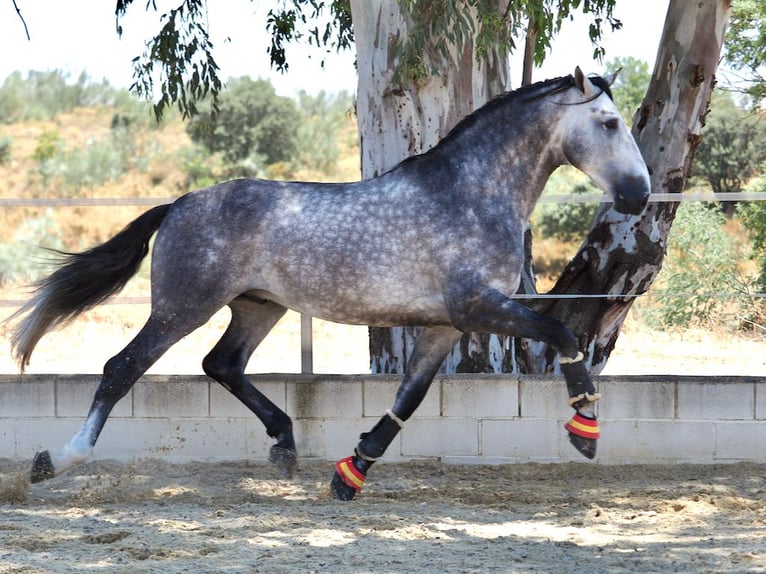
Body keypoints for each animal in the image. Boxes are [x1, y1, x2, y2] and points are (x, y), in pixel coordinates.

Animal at [9, 66, 652, 500]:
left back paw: (285, 445)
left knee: (222, 364)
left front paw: (351, 474)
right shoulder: (476, 306)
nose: (639, 195)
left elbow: (409, 398)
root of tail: (180, 203)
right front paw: (585, 432)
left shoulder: (445, 325)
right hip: (184, 306)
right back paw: (56, 461)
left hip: (256, 307)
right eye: (609, 122)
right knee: (122, 368)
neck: (470, 191)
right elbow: (563, 337)